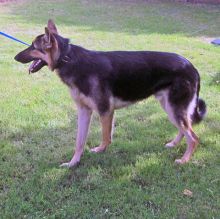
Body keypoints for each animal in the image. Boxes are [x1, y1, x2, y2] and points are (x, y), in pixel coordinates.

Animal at [15, 20, 206, 168]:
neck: (68, 59)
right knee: (185, 129)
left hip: (174, 108)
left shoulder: (105, 111)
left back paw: (184, 160)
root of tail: (192, 67)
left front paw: (100, 150)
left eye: (33, 46)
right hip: (170, 108)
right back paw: (174, 144)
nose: (15, 58)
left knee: (194, 137)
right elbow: (79, 141)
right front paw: (73, 163)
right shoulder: (84, 112)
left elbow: (106, 137)